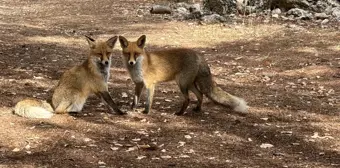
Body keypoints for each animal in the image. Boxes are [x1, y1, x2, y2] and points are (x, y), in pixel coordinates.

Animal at [118, 34, 248, 115]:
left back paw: (180, 113)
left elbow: (148, 101)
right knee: (200, 95)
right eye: (127, 54)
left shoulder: (150, 85)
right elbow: (135, 99)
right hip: (188, 84)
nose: (131, 62)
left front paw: (146, 112)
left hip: (181, 84)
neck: (139, 67)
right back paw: (197, 109)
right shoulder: (138, 84)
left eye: (136, 54)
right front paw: (131, 109)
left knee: (188, 99)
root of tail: (198, 55)